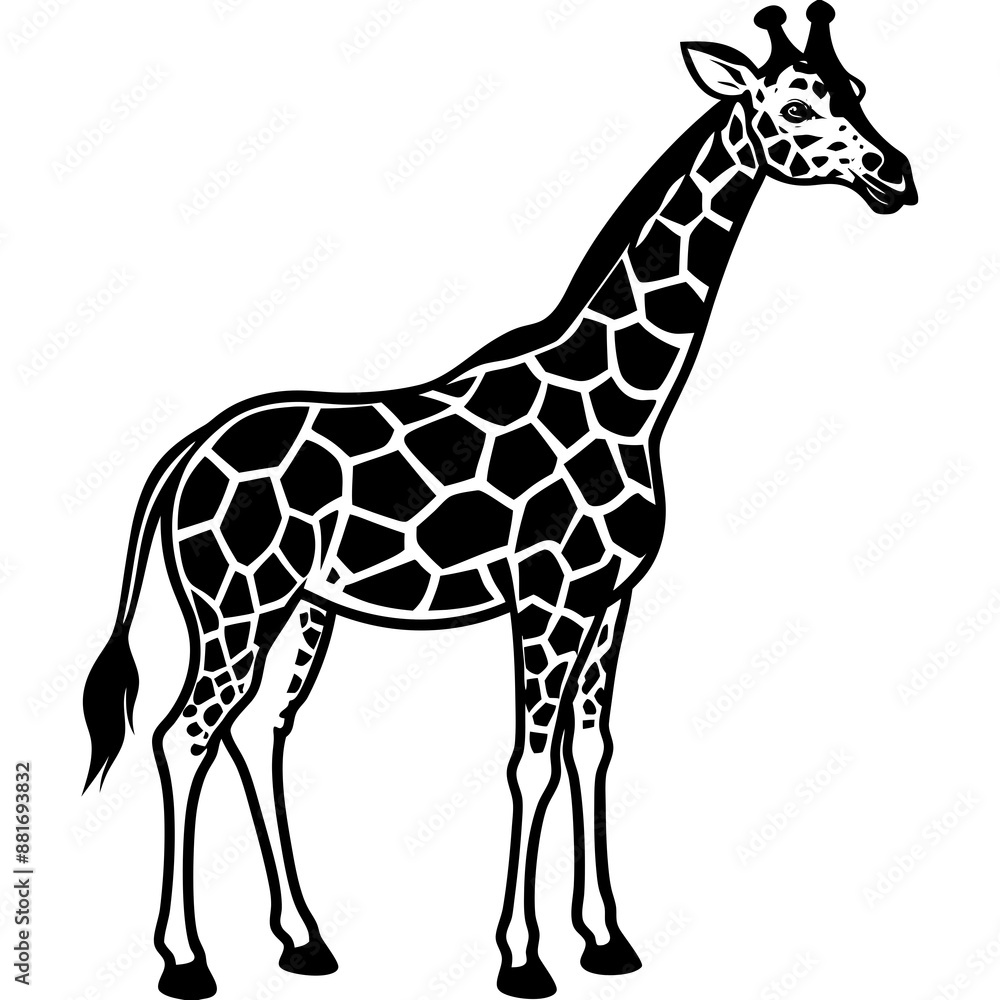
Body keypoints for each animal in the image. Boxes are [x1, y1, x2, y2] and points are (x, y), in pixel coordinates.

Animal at [82, 5, 916, 999]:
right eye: (793, 104)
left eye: (856, 90)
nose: (897, 176)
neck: (629, 398)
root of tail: (182, 458)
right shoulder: (547, 599)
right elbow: (530, 762)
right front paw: (523, 959)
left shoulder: (610, 600)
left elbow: (590, 751)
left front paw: (607, 941)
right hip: (235, 606)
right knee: (183, 738)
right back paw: (185, 961)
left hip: (303, 611)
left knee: (257, 735)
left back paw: (304, 940)